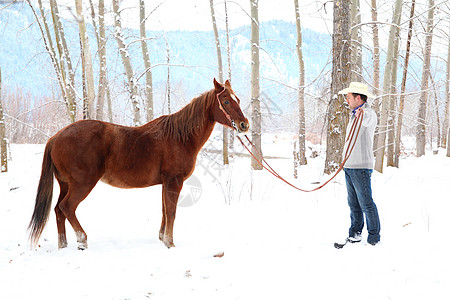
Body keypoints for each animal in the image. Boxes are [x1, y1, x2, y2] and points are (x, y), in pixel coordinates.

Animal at [28, 78, 250, 250]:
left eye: (237, 99)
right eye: (226, 101)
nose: (244, 125)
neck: (179, 137)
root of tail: (56, 136)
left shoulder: (166, 184)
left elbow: (164, 210)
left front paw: (163, 239)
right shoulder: (174, 182)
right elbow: (171, 212)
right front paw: (170, 243)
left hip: (65, 184)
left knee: (58, 210)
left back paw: (64, 246)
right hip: (82, 184)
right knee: (67, 207)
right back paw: (82, 241)